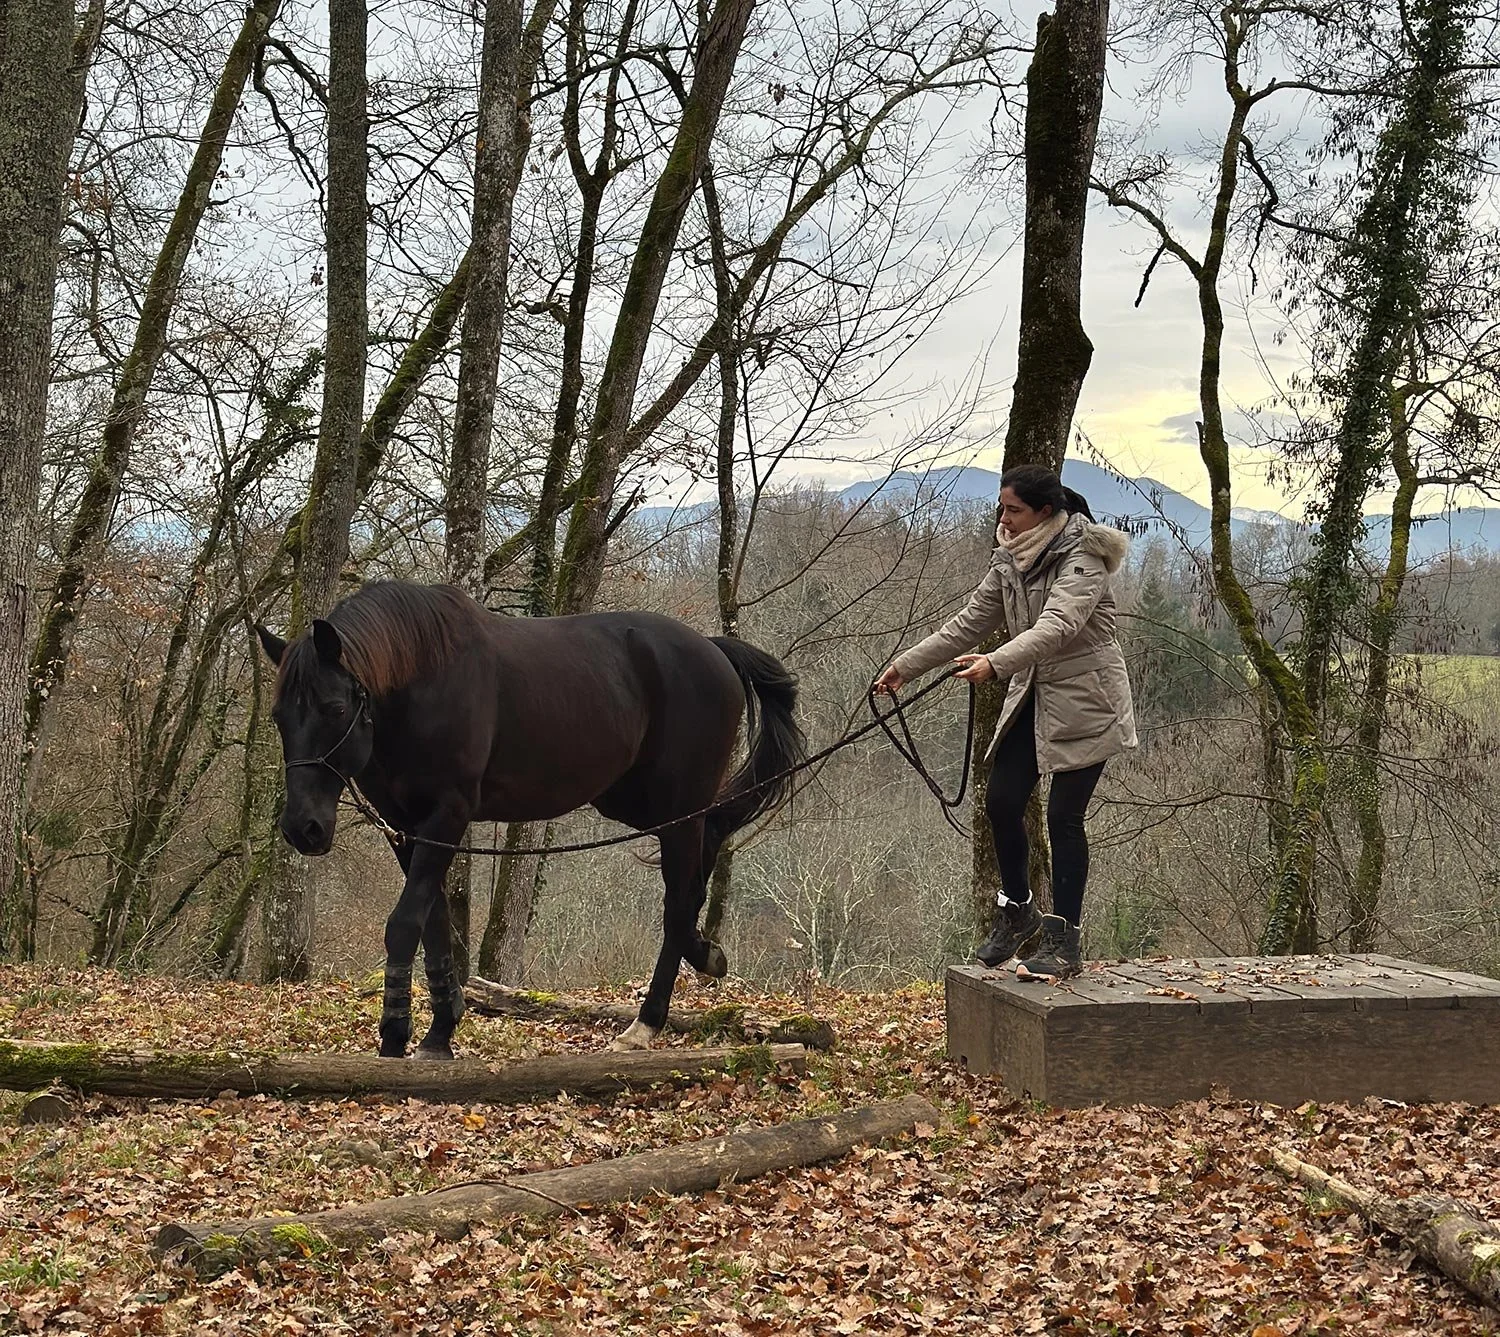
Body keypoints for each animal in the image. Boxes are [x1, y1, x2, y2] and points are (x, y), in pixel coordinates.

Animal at [255, 580, 805, 1057]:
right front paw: (441, 1029)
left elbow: (406, 922)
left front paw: (396, 1034)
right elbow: (434, 920)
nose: (303, 828)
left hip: (674, 807)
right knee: (705, 852)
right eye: (280, 717)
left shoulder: (447, 816)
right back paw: (704, 953)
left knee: (679, 899)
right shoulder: (406, 827)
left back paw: (646, 1022)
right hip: (636, 802)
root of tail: (713, 650)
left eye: (333, 708)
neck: (425, 679)